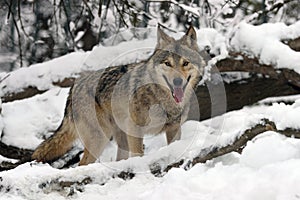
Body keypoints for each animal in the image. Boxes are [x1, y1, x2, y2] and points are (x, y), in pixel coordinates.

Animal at [31, 25, 209, 166]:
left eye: (185, 63)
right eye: (167, 63)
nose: (177, 81)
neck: (161, 98)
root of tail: (74, 87)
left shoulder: (174, 129)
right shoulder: (135, 130)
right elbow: (138, 155)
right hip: (100, 139)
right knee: (82, 164)